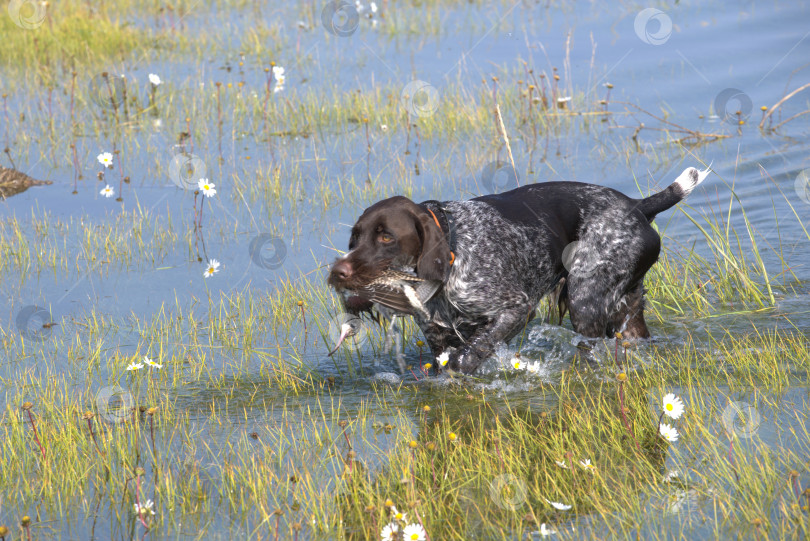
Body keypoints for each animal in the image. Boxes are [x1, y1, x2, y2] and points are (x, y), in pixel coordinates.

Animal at [326, 167, 708, 374]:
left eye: (386, 236)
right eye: (355, 237)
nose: (339, 272)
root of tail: (638, 206)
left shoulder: (515, 310)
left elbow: (470, 355)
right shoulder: (438, 336)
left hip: (585, 301)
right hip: (627, 310)